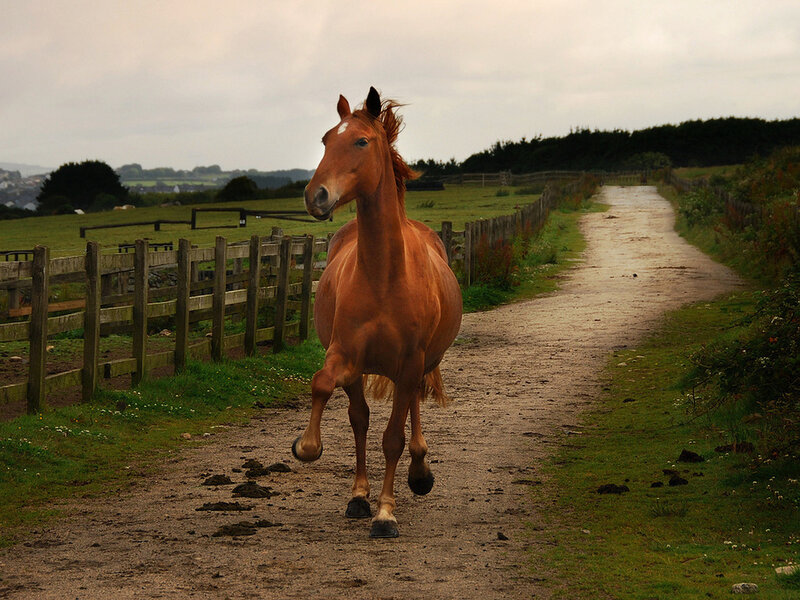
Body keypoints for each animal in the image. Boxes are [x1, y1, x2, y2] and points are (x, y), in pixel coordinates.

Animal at [292, 87, 463, 538]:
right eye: (325, 140)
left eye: (361, 142)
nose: (316, 195)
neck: (385, 275)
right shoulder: (345, 354)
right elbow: (324, 387)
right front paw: (308, 447)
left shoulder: (409, 363)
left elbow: (393, 439)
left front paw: (386, 514)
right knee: (360, 419)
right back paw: (358, 496)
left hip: (422, 364)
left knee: (412, 410)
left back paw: (419, 473)